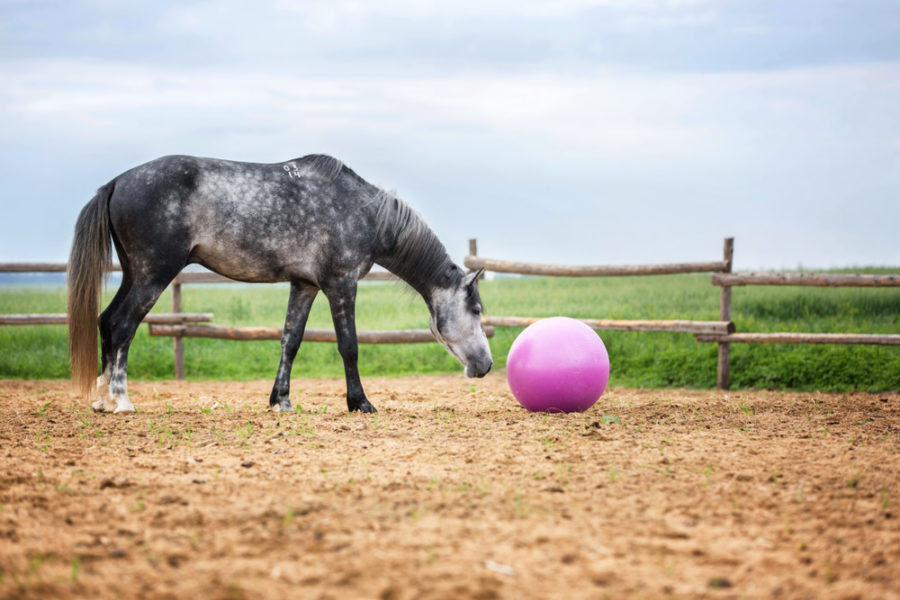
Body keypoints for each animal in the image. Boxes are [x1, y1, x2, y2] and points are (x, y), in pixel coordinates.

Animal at [67, 156, 492, 412]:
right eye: (476, 309)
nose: (487, 365)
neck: (365, 212)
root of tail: (117, 182)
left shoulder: (303, 284)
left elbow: (291, 340)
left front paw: (280, 401)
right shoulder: (341, 284)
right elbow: (349, 346)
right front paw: (360, 403)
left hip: (134, 273)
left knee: (107, 321)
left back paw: (102, 400)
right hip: (153, 274)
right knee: (123, 324)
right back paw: (121, 400)